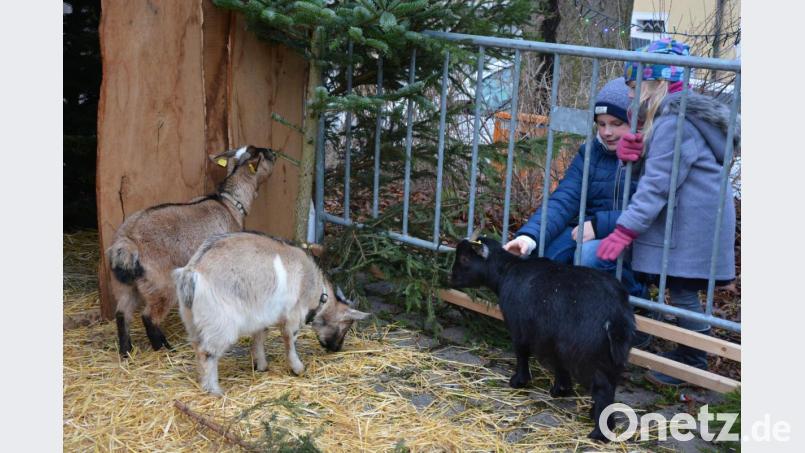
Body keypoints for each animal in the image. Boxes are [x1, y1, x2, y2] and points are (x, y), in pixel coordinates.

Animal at [106, 145, 276, 357]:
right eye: (265, 155)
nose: (275, 153)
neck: (229, 204)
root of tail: (127, 241)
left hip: (125, 285)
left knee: (122, 314)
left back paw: (126, 352)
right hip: (160, 283)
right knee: (149, 317)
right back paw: (164, 349)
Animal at [173, 231, 370, 395]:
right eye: (346, 325)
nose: (337, 348)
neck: (316, 291)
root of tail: (193, 271)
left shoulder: (261, 316)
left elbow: (258, 338)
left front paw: (261, 365)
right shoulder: (292, 316)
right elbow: (289, 341)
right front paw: (298, 368)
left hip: (191, 319)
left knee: (197, 346)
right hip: (221, 323)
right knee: (207, 353)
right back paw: (214, 390)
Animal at [449, 233, 635, 441]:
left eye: (465, 259)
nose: (450, 278)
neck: (507, 272)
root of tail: (615, 315)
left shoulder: (520, 327)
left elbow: (522, 352)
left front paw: (519, 381)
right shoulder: (552, 339)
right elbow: (559, 364)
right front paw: (560, 390)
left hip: (586, 352)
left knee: (603, 388)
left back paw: (599, 433)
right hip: (607, 354)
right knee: (610, 383)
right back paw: (596, 416)